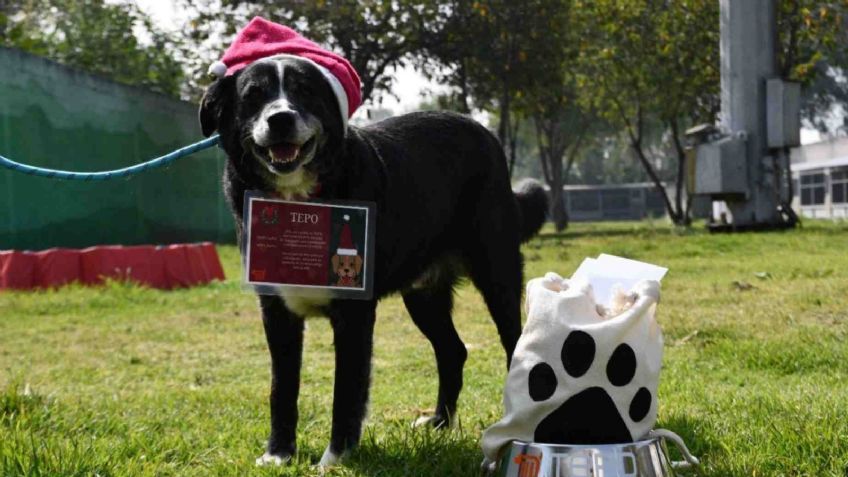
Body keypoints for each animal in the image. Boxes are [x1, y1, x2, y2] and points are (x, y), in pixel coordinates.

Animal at [197, 54, 548, 464]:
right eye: (253, 95)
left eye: (305, 91)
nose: (280, 118)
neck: (299, 203)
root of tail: (482, 131)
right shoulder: (276, 311)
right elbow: (281, 389)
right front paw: (278, 455)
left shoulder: (353, 314)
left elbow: (346, 391)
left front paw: (334, 458)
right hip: (423, 296)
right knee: (452, 352)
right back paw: (438, 423)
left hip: (496, 274)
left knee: (513, 344)